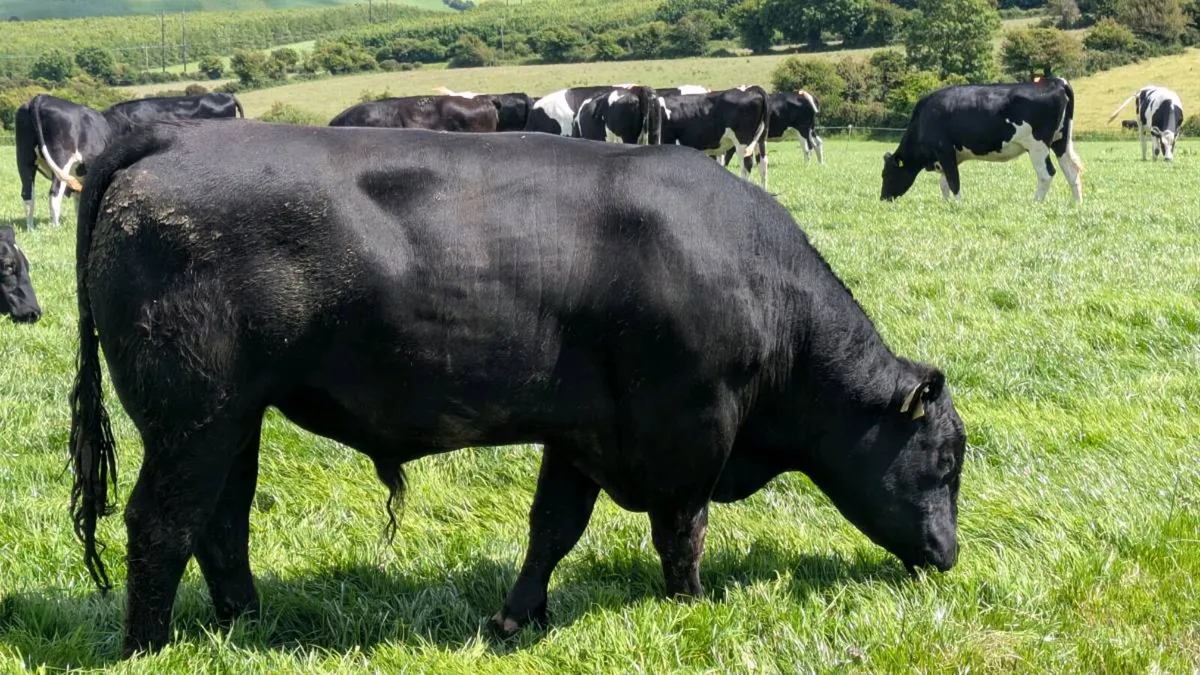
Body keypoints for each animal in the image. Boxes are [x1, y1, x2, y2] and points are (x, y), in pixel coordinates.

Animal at [15, 94, 109, 228]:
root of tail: (40, 98)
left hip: (24, 157)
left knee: (27, 193)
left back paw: (30, 228)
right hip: (61, 158)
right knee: (55, 192)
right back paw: (55, 227)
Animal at [70, 119, 965, 657]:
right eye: (948, 460)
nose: (951, 554)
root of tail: (171, 133)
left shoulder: (581, 432)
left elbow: (553, 529)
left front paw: (516, 614)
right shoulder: (688, 433)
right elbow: (683, 532)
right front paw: (690, 607)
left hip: (234, 415)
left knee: (222, 518)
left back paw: (245, 619)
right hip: (193, 414)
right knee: (161, 522)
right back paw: (148, 646)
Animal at [881, 78, 1083, 202]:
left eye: (886, 174)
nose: (883, 199)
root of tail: (1055, 81)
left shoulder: (944, 150)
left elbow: (953, 181)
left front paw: (958, 205)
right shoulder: (948, 156)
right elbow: (944, 183)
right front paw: (946, 203)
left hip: (1037, 146)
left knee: (1046, 174)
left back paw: (1035, 203)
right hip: (1060, 140)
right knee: (1071, 170)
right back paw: (1076, 203)